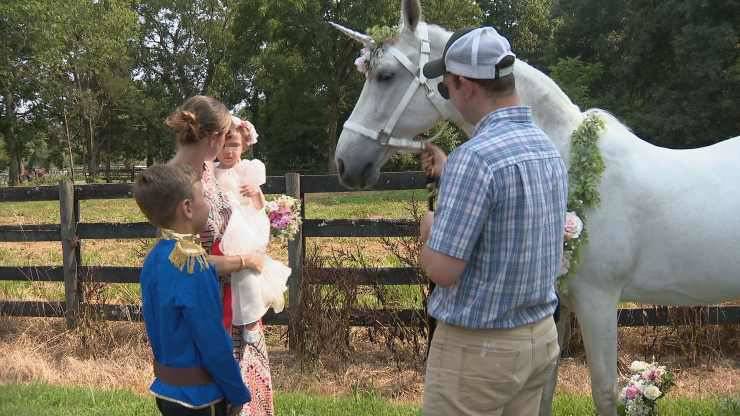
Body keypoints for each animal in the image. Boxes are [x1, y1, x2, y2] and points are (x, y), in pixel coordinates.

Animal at [332, 1, 740, 414]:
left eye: (385, 76)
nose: (346, 162)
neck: (568, 156)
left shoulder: (598, 301)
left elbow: (605, 391)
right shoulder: (558, 302)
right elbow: (544, 387)